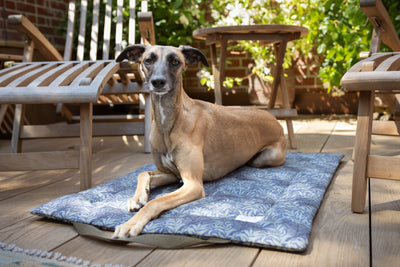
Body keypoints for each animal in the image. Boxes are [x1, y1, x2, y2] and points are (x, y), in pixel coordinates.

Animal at [111, 45, 286, 240]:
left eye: (175, 61)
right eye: (148, 60)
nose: (158, 82)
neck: (169, 123)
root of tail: (273, 118)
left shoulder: (192, 184)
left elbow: (156, 202)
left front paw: (130, 224)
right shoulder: (171, 174)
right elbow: (142, 173)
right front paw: (138, 198)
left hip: (265, 158)